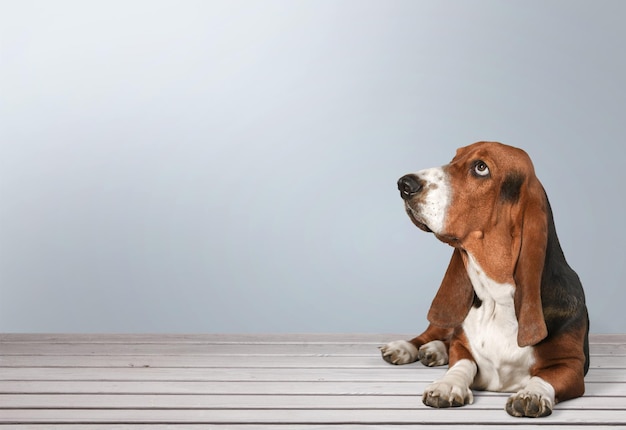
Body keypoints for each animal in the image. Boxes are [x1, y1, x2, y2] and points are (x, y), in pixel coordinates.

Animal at [378, 141, 588, 416]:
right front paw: (448, 385)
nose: (404, 184)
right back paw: (408, 347)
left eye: (481, 167)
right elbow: (463, 362)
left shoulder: (572, 365)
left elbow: (544, 377)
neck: (497, 299)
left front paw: (531, 394)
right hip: (445, 323)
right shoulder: (463, 349)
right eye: (453, 158)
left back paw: (434, 351)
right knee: (434, 334)